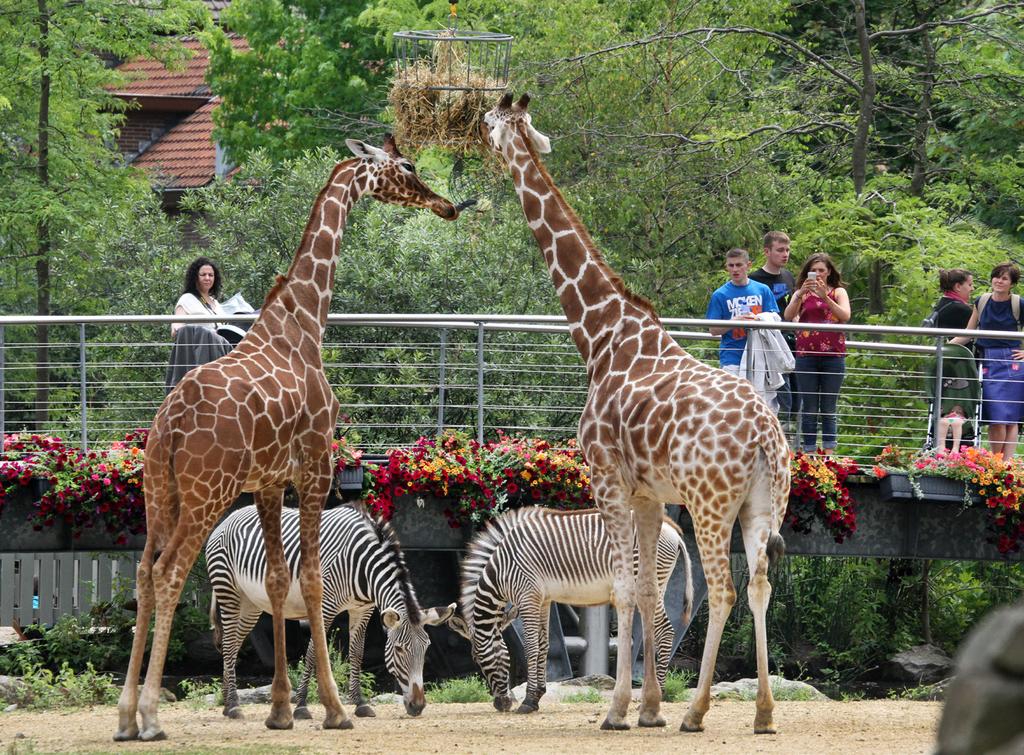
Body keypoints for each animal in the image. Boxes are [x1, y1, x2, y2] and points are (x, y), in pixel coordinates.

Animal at [205, 499, 454, 717]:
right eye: (399, 649)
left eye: (426, 648)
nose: (418, 706)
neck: (362, 564)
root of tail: (228, 518)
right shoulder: (324, 607)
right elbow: (313, 651)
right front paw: (302, 705)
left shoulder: (362, 609)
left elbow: (357, 652)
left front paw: (360, 703)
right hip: (229, 592)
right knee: (229, 642)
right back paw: (233, 706)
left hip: (251, 604)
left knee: (233, 644)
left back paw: (227, 704)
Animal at [450, 506, 696, 712]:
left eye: (477, 659)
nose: (502, 705)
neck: (501, 570)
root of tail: (673, 530)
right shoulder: (543, 599)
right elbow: (544, 645)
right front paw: (537, 697)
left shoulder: (527, 596)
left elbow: (531, 646)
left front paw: (527, 702)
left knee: (665, 632)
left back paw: (656, 696)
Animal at [483, 91, 786, 733]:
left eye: (492, 123)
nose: (484, 142)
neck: (602, 335)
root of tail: (764, 436)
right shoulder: (650, 493)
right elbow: (647, 591)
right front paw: (648, 709)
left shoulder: (607, 479)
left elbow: (623, 591)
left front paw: (619, 709)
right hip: (763, 502)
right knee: (759, 585)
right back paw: (764, 713)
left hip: (710, 502)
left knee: (724, 590)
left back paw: (696, 711)